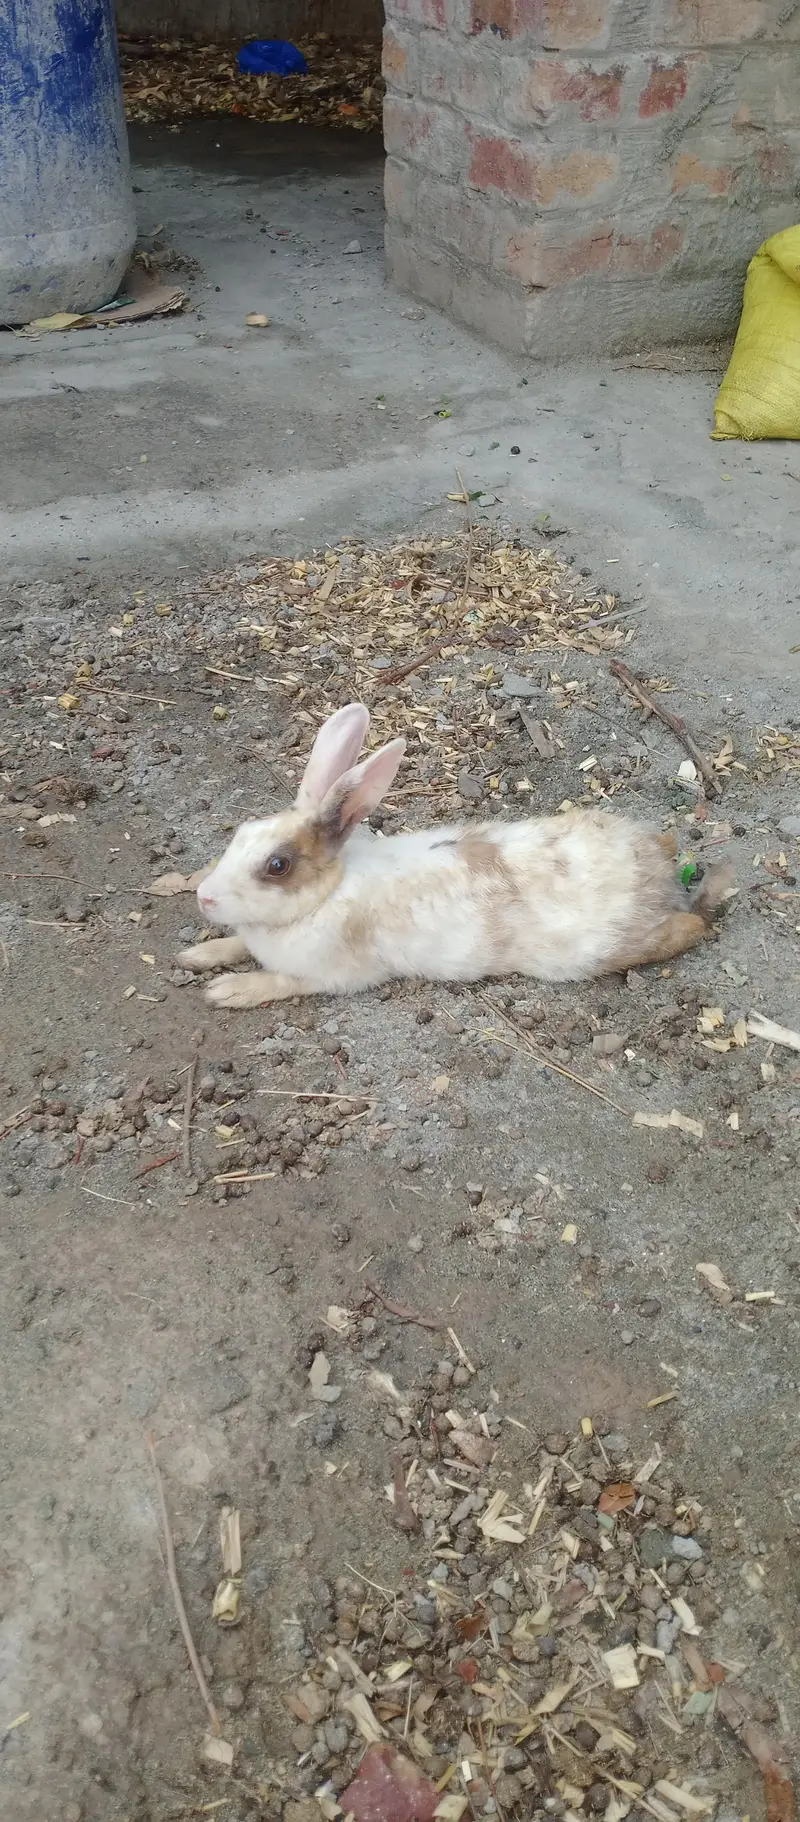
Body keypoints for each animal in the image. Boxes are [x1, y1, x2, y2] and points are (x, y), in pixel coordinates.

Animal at [178, 701, 735, 1008]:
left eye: (278, 866)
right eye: (241, 834)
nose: (204, 897)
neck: (325, 896)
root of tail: (662, 874)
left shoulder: (330, 976)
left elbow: (277, 980)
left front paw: (225, 992)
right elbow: (234, 944)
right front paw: (196, 956)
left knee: (692, 928)